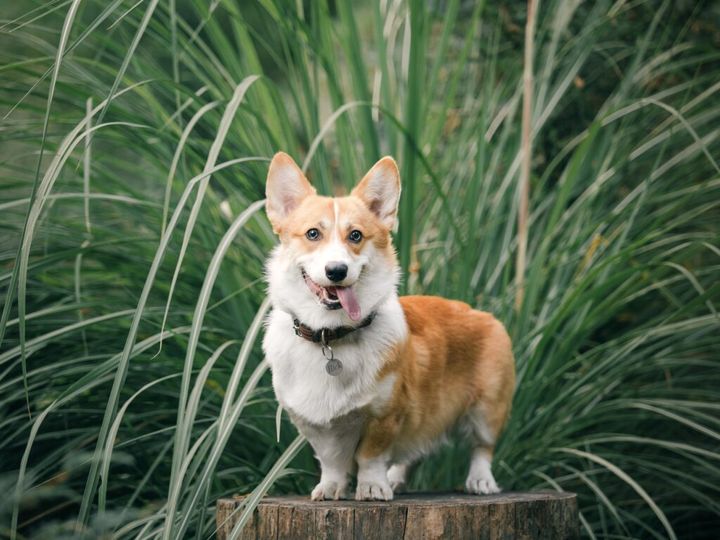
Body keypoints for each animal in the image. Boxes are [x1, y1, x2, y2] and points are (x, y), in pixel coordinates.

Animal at [262, 152, 516, 502]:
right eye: (313, 234)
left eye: (356, 236)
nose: (337, 271)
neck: (331, 336)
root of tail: (481, 313)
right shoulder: (315, 424)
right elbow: (332, 460)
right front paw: (331, 487)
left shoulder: (386, 414)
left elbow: (370, 455)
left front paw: (371, 487)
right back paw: (395, 478)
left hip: (487, 408)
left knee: (481, 448)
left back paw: (480, 481)